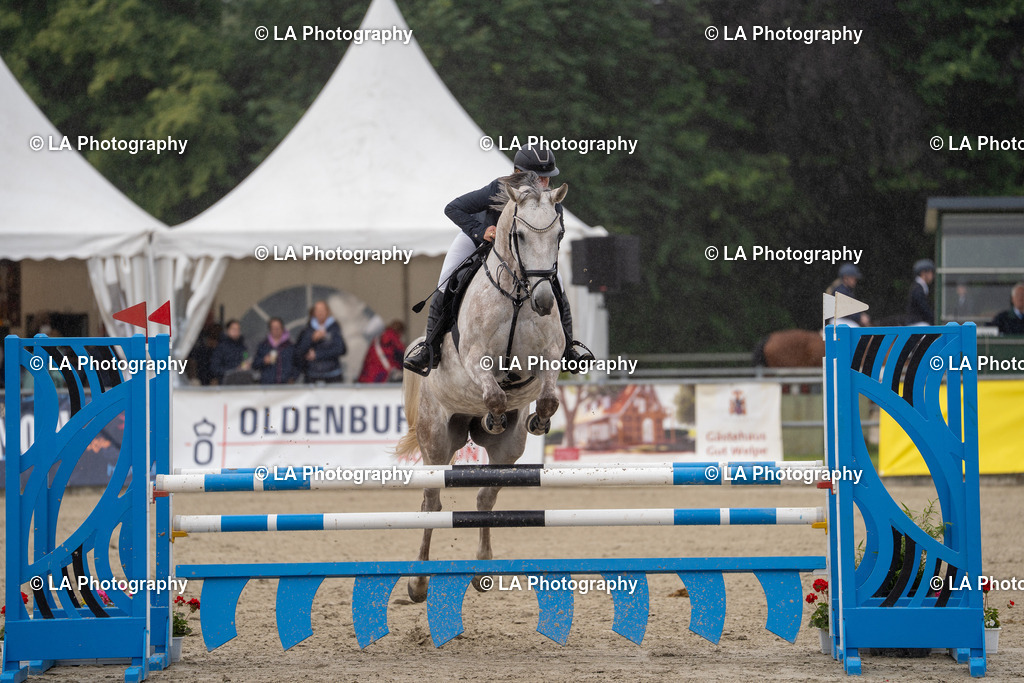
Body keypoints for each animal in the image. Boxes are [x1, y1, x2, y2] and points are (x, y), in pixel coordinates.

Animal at [395, 177, 567, 602]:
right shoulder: (475, 360)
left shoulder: (549, 357)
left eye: (558, 234)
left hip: (508, 450)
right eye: (519, 235)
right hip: (437, 441)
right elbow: (493, 392)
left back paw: (483, 569)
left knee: (485, 496)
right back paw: (418, 583)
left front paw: (539, 420)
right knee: (432, 502)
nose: (543, 301)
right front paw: (494, 413)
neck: (519, 296)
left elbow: (548, 395)